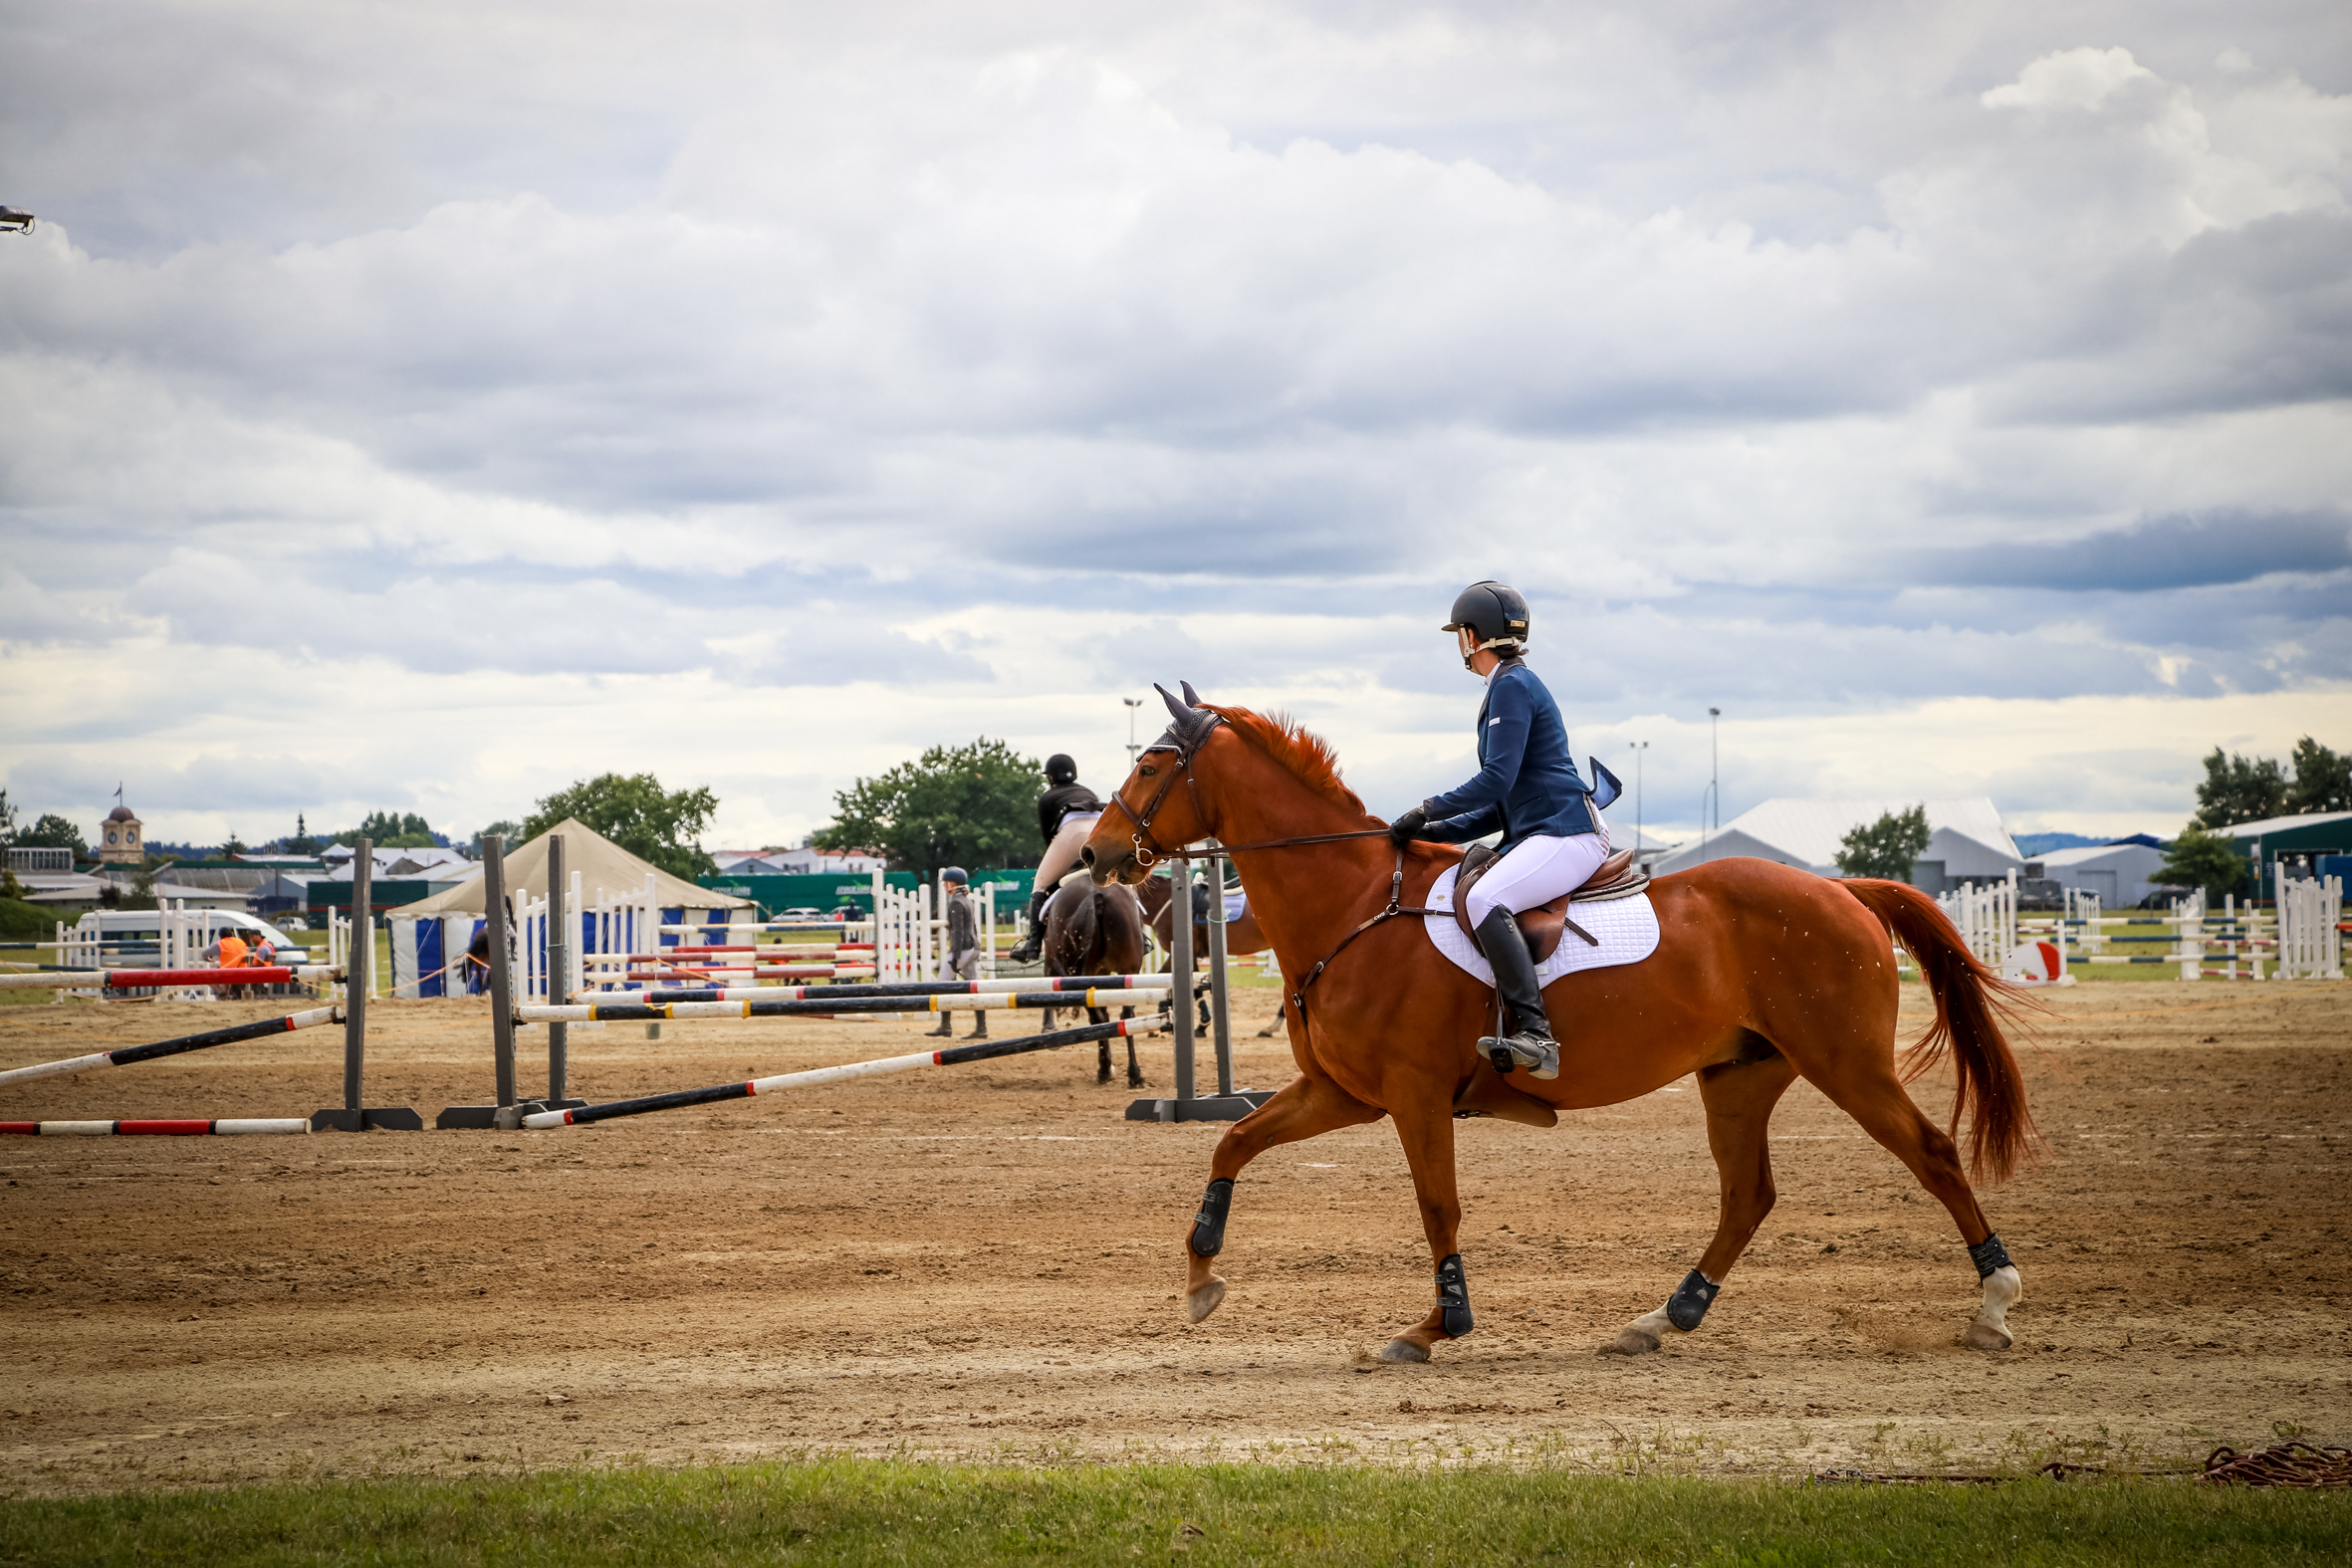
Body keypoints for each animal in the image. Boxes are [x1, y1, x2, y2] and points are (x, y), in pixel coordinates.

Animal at [1036, 877, 1152, 1087]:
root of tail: (1096, 895)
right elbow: (1104, 1012)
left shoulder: (1050, 960)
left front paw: (1048, 1027)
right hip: (1127, 970)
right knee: (1126, 1015)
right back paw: (1134, 1074)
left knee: (1097, 1017)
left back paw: (1106, 1070)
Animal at [1083, 684, 2037, 1365]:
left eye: (1151, 767)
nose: (1095, 853)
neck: (1353, 904)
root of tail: (1844, 890)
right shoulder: (1341, 1092)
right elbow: (1233, 1141)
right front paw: (1201, 1274)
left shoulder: (1413, 1095)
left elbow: (1438, 1204)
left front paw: (1438, 1324)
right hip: (1740, 1073)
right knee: (1748, 1194)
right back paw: (1665, 1315)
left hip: (1846, 1062)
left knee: (1930, 1153)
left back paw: (1995, 1303)